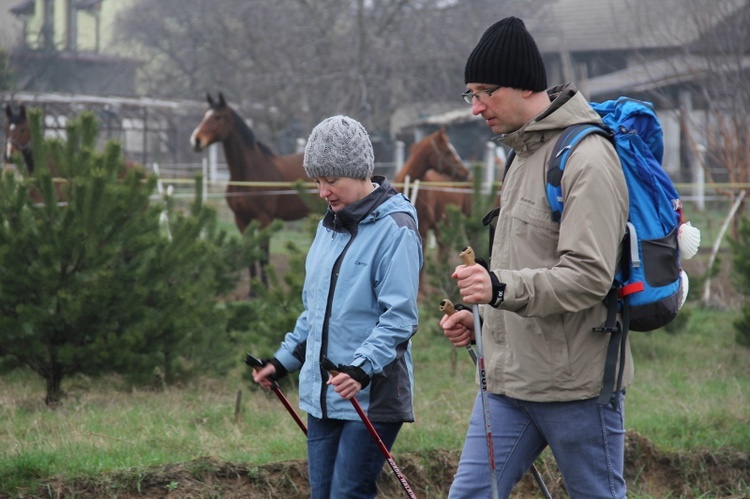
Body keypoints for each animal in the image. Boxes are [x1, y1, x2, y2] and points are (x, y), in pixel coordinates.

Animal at [194, 94, 314, 290]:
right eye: (205, 114)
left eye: (217, 117)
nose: (196, 140)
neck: (248, 173)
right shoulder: (242, 219)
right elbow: (248, 252)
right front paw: (252, 291)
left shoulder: (264, 219)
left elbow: (263, 255)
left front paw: (264, 288)